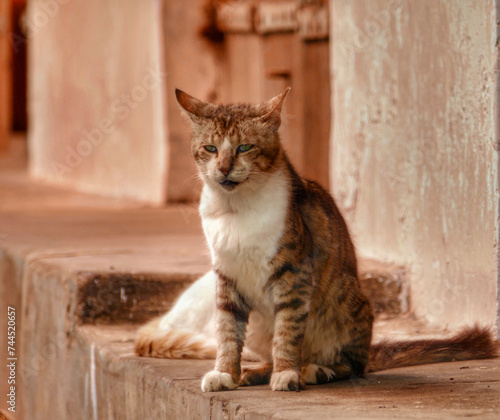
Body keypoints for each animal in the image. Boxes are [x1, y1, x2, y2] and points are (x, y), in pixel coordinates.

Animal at [135, 87, 498, 392]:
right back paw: (254, 372)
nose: (223, 169)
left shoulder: (293, 272)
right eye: (210, 148)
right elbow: (227, 331)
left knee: (352, 365)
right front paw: (226, 372)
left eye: (244, 147)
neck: (234, 210)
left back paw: (313, 370)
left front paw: (286, 373)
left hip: (345, 301)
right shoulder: (225, 277)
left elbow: (287, 329)